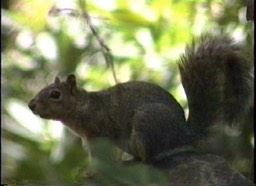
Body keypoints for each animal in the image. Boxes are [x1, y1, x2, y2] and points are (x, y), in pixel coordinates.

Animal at [28, 33, 252, 163]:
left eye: (55, 95)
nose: (31, 105)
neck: (84, 106)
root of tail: (183, 134)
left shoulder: (100, 133)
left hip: (146, 122)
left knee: (149, 157)